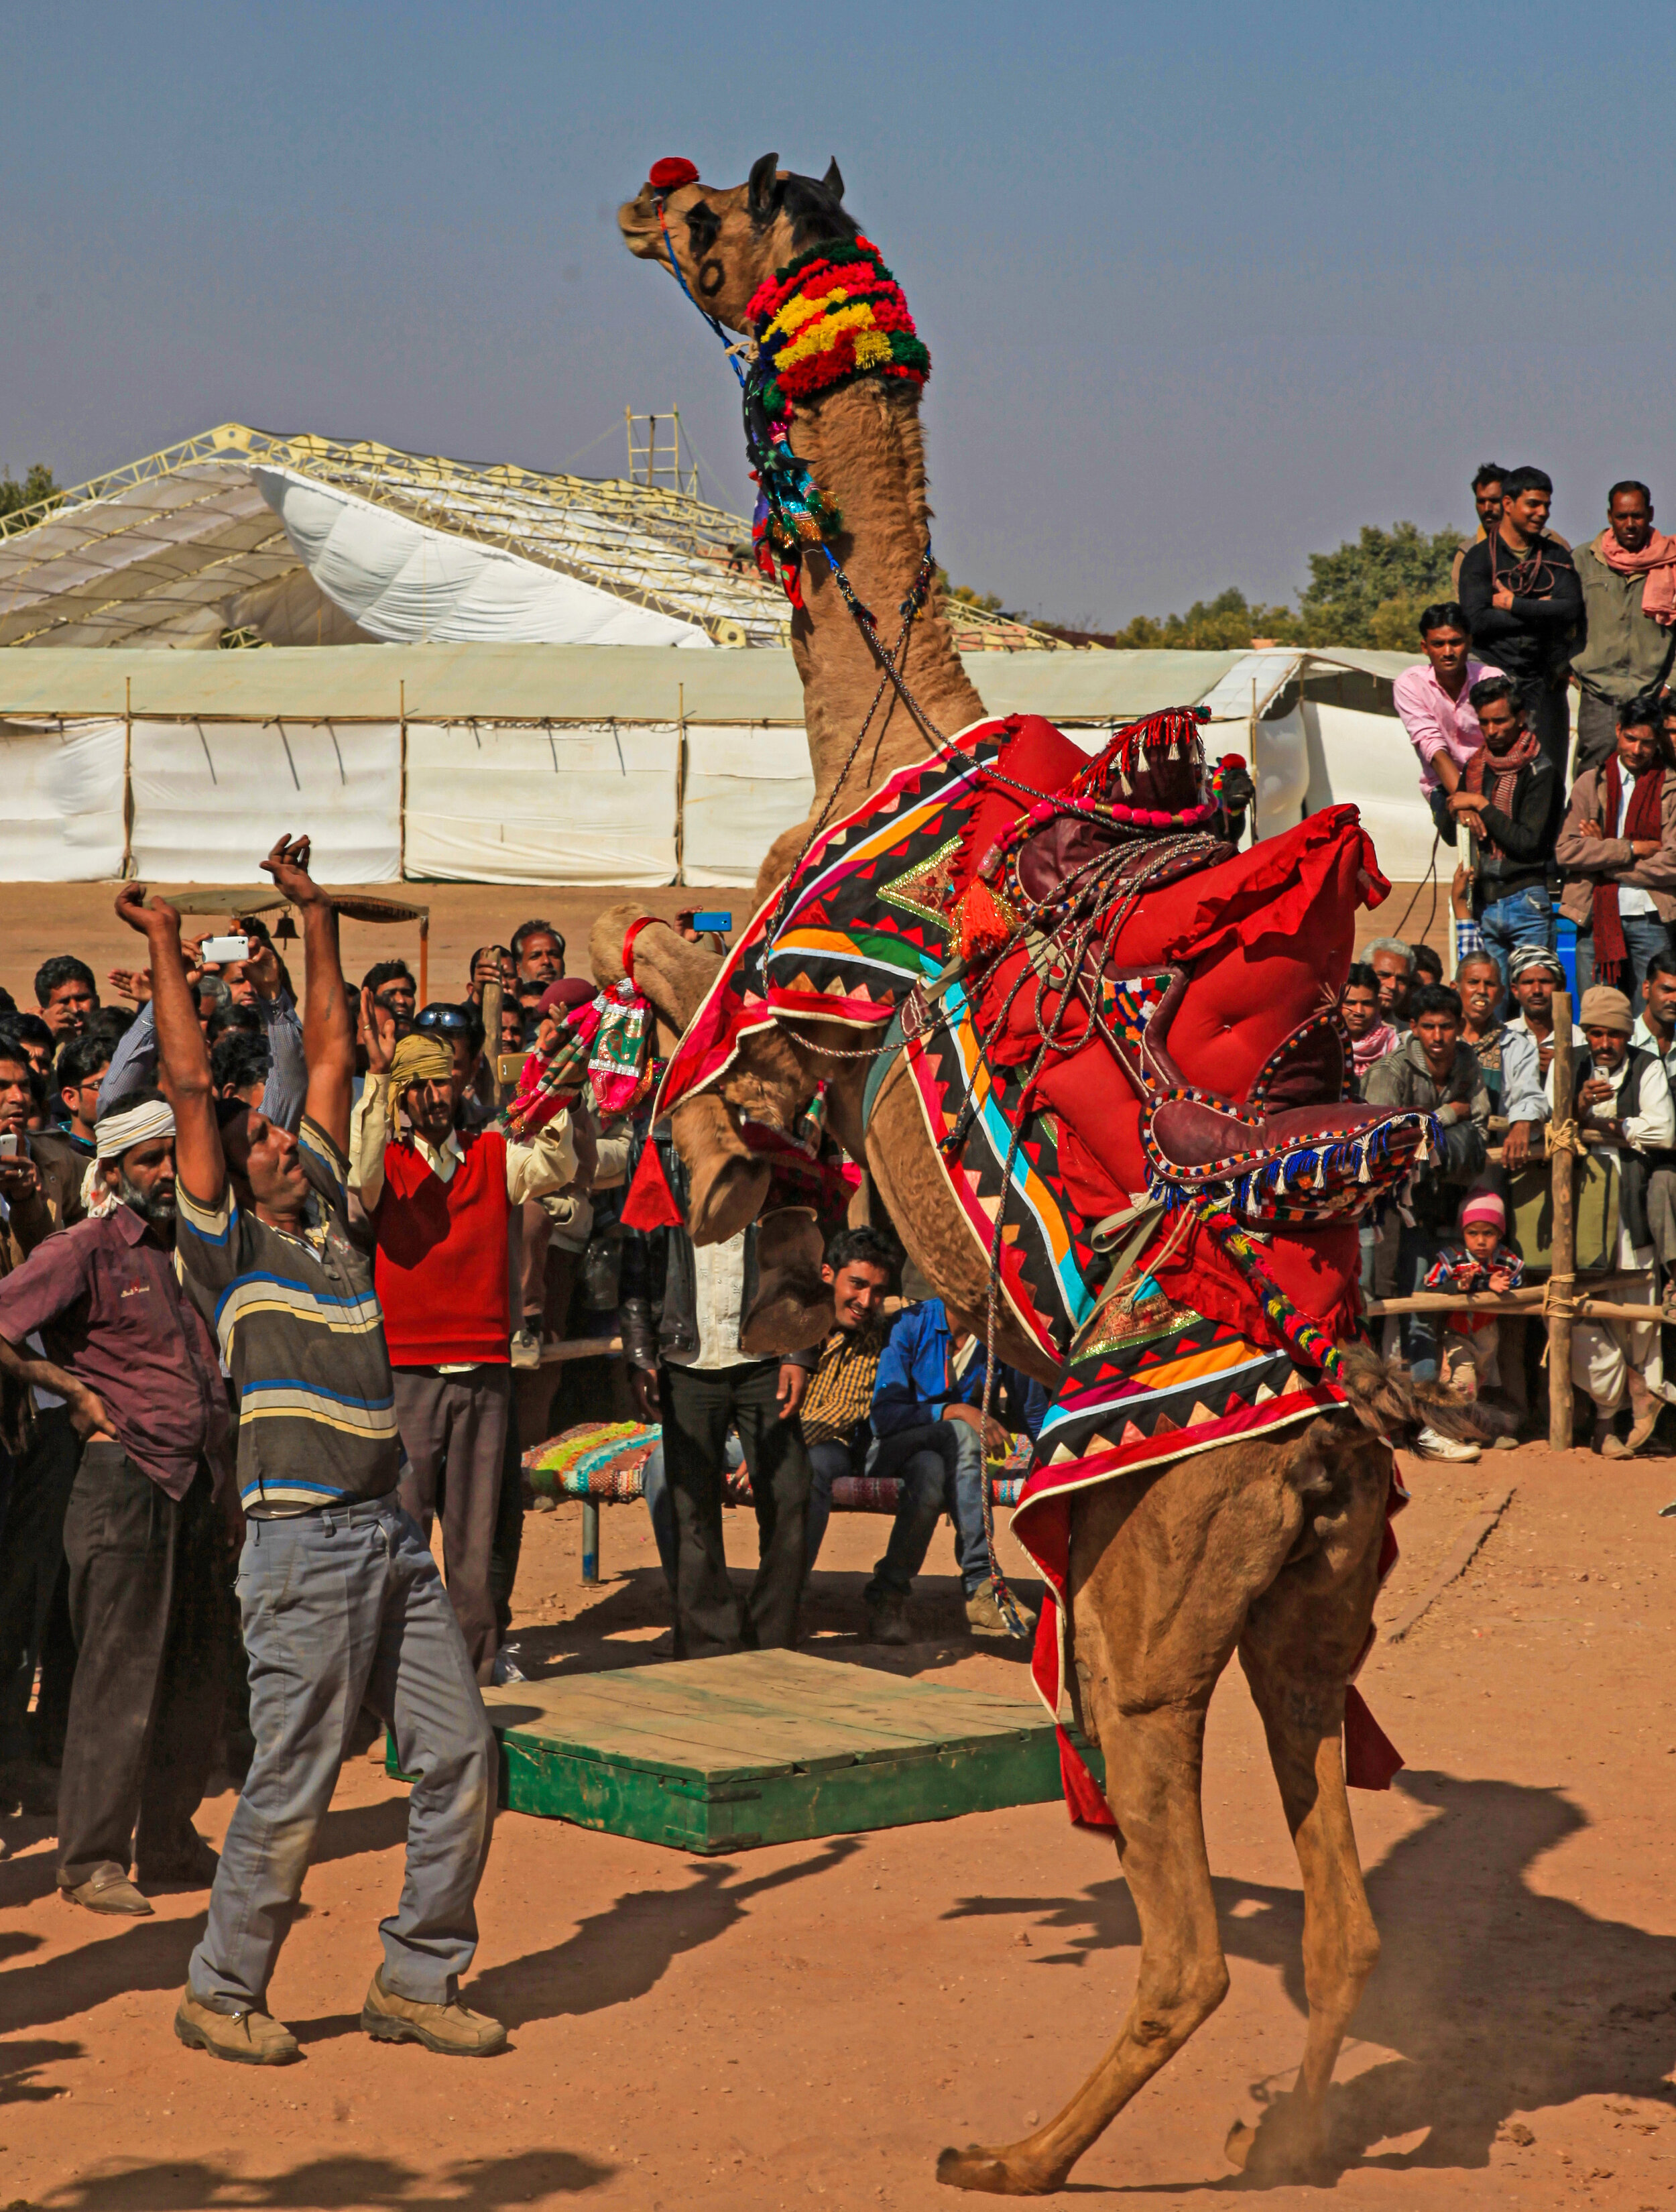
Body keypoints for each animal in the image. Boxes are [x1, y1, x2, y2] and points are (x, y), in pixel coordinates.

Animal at [605, 160, 1486, 2194]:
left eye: (724, 222)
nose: (643, 195)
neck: (887, 725)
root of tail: (1332, 1439)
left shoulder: (791, 1006)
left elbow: (680, 1001)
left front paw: (704, 1191)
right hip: (1308, 1627)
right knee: (1337, 1916)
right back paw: (1281, 2133)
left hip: (1146, 1625)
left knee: (1191, 1939)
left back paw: (1014, 2151)